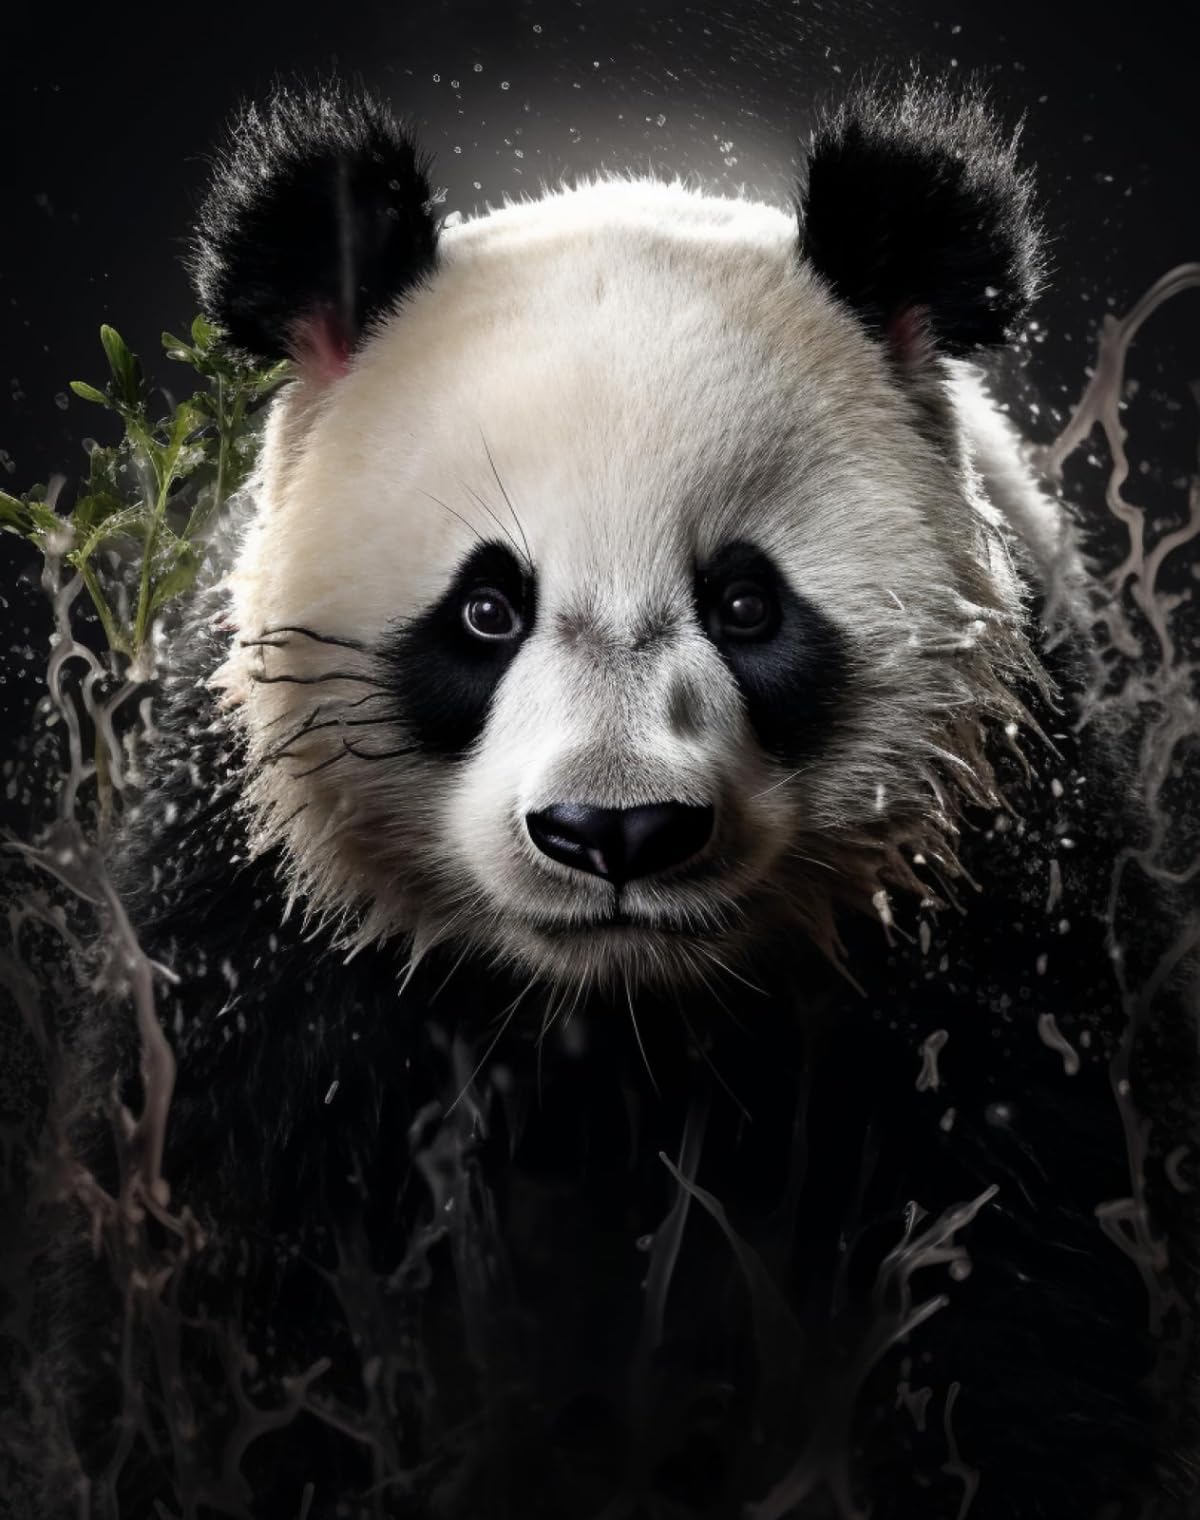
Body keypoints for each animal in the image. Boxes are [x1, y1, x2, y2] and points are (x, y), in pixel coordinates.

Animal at [40, 79, 1199, 1520]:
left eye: (747, 603)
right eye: (486, 609)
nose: (616, 832)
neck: (622, 1023)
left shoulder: (1001, 893)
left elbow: (1039, 1257)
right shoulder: (257, 940)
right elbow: (210, 1272)